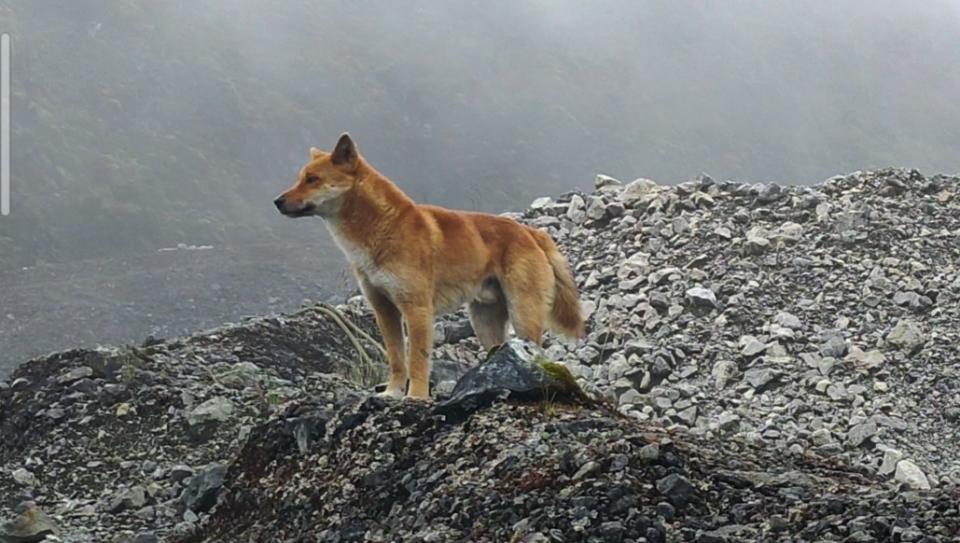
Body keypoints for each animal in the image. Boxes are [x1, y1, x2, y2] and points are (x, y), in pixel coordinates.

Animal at [274, 135, 580, 400]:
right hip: (484, 322)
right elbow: (398, 360)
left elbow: (417, 360)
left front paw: (416, 397)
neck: (383, 228)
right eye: (300, 178)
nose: (277, 202)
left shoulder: (417, 308)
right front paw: (392, 393)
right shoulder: (385, 310)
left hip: (523, 314)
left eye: (313, 179)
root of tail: (530, 232)